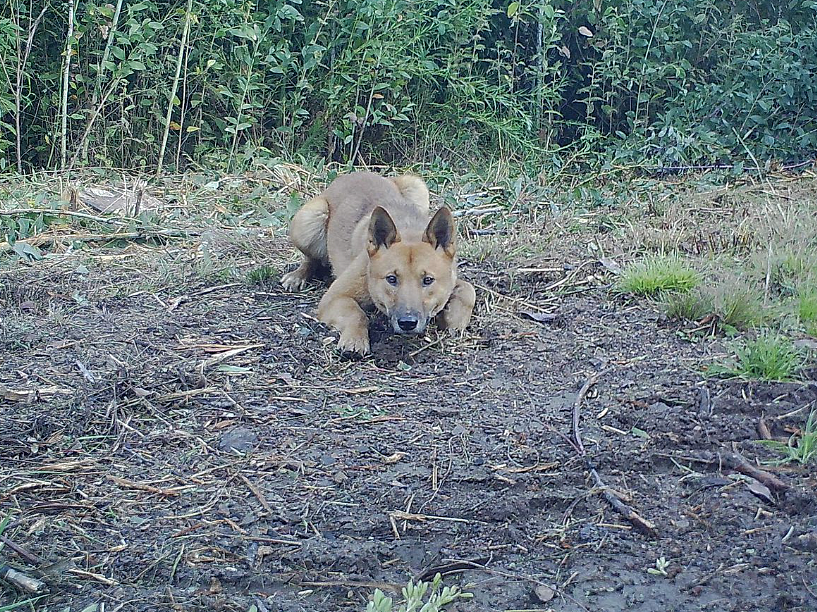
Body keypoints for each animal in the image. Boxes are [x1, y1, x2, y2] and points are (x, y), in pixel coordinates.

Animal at [280, 172, 474, 354]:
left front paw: (455, 319)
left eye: (428, 280)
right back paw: (298, 276)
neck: (408, 228)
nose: (407, 323)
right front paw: (355, 339)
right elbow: (357, 314)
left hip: (417, 186)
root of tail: (351, 174)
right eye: (391, 279)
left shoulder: (452, 278)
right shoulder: (333, 297)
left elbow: (469, 290)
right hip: (308, 221)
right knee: (311, 259)